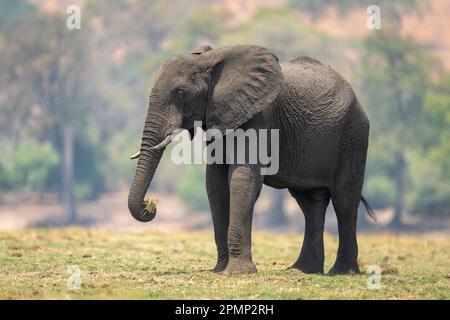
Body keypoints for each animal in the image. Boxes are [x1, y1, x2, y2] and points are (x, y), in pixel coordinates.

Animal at [127, 44, 372, 276]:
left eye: (180, 93)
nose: (151, 206)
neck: (211, 60)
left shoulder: (258, 117)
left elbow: (242, 178)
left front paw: (236, 273)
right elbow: (215, 184)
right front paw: (220, 270)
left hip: (354, 135)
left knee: (344, 200)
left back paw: (342, 272)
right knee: (310, 202)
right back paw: (303, 270)